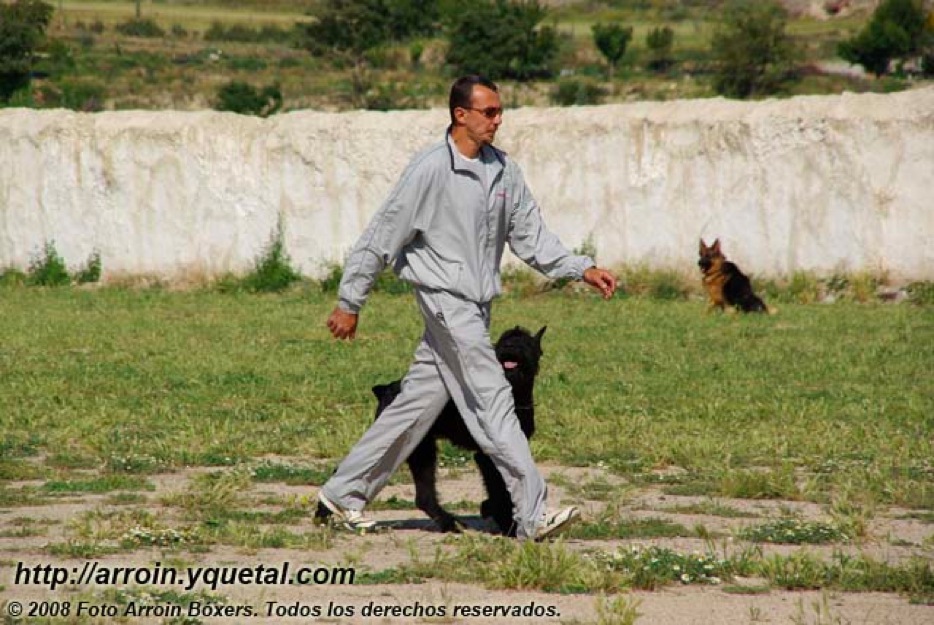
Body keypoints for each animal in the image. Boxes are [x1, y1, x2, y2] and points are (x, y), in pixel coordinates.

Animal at [316, 324, 544, 532]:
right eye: (503, 341)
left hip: (420, 450)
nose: (510, 346)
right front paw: (506, 521)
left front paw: (495, 512)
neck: (514, 394)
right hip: (419, 449)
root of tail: (386, 389)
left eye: (526, 343)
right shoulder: (487, 456)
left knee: (422, 495)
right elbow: (500, 490)